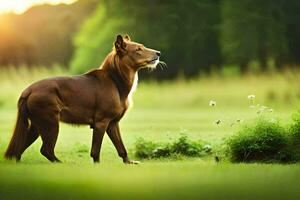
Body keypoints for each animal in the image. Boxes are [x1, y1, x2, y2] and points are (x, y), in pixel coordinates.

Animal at [4, 34, 162, 163]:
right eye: (138, 49)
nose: (159, 53)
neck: (116, 81)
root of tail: (28, 90)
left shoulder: (113, 123)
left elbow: (121, 147)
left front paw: (129, 162)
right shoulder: (101, 122)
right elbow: (96, 151)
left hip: (37, 125)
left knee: (19, 148)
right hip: (50, 123)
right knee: (46, 149)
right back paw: (61, 163)